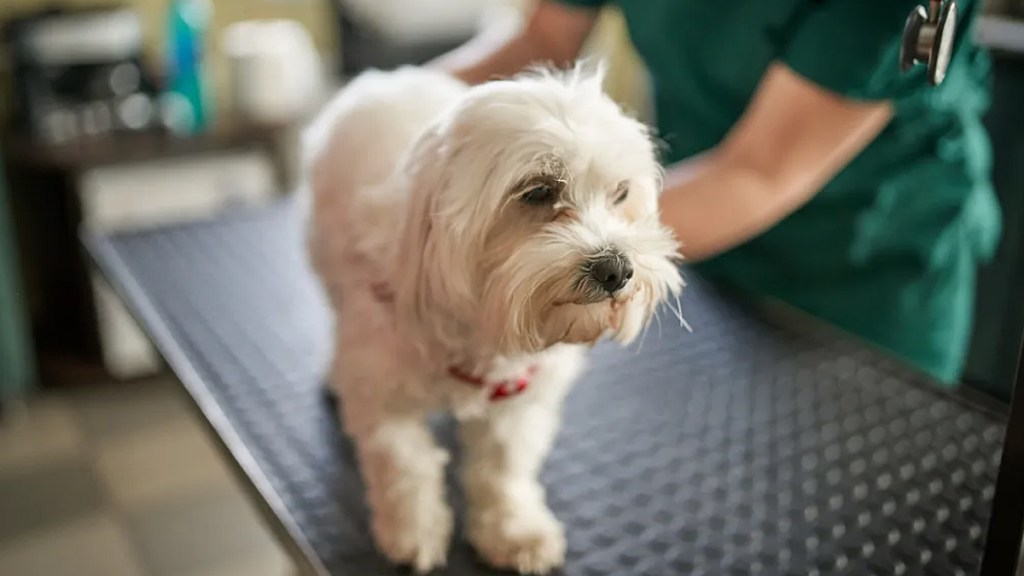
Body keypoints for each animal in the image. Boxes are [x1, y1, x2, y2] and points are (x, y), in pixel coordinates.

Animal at [299, 60, 684, 569]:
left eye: (620, 194)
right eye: (537, 191)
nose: (616, 268)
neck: (481, 332)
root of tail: (389, 75)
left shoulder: (520, 397)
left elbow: (503, 468)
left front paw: (513, 531)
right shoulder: (383, 398)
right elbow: (405, 467)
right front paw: (413, 531)